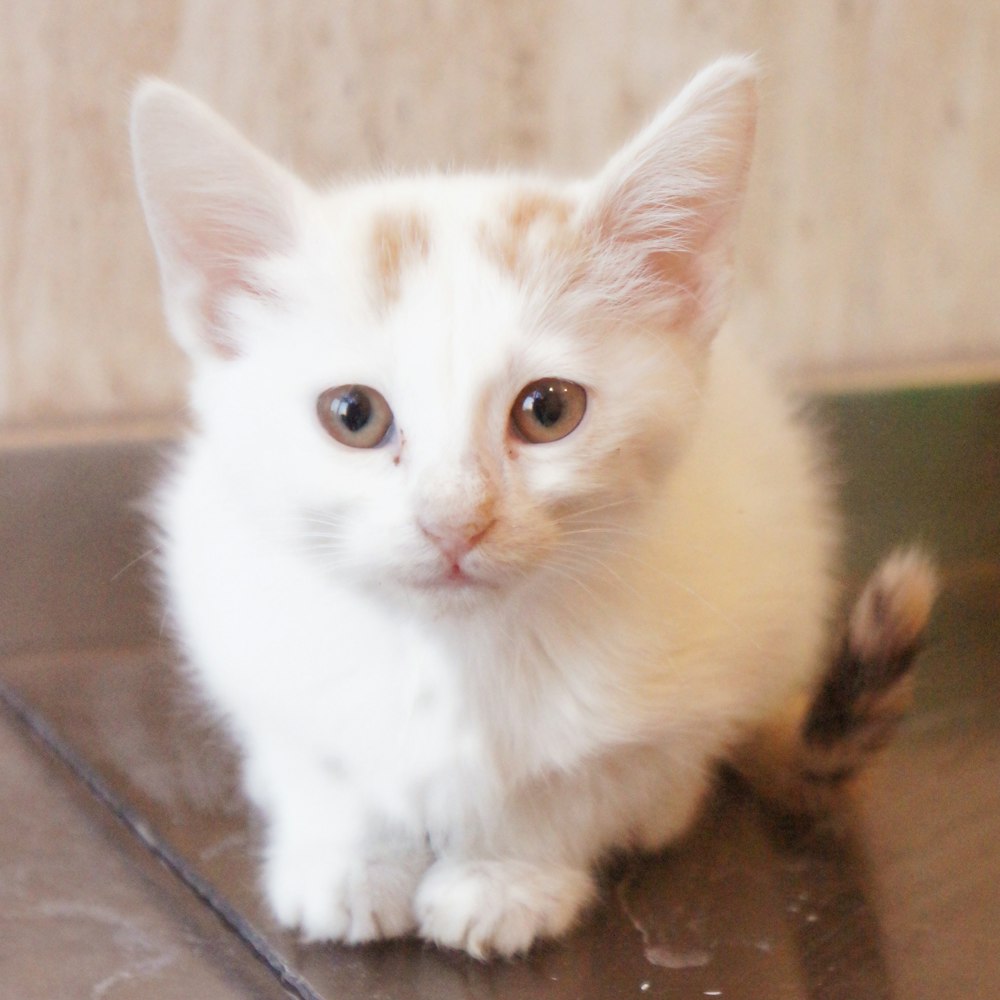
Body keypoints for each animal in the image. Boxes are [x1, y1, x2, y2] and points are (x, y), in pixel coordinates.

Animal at [129, 56, 932, 960]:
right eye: (353, 414)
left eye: (549, 410)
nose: (453, 520)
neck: (456, 653)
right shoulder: (237, 623)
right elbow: (321, 758)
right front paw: (351, 862)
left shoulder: (703, 659)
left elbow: (582, 780)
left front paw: (505, 878)